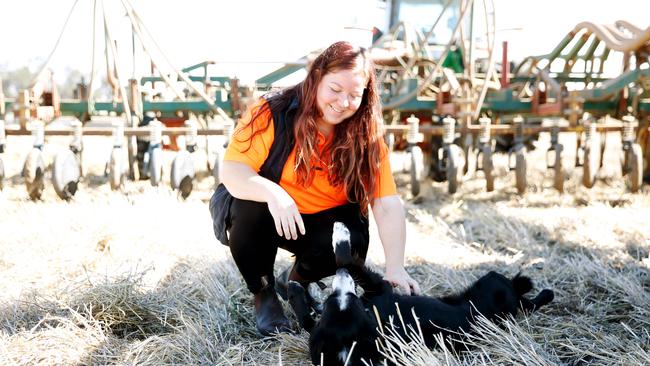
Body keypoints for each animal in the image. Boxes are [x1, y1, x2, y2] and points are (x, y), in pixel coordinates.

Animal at [288, 222, 552, 364]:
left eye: (335, 300)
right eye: (344, 299)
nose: (342, 277)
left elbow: (346, 262)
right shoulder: (376, 289)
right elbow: (346, 261)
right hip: (495, 286)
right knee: (522, 297)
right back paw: (539, 290)